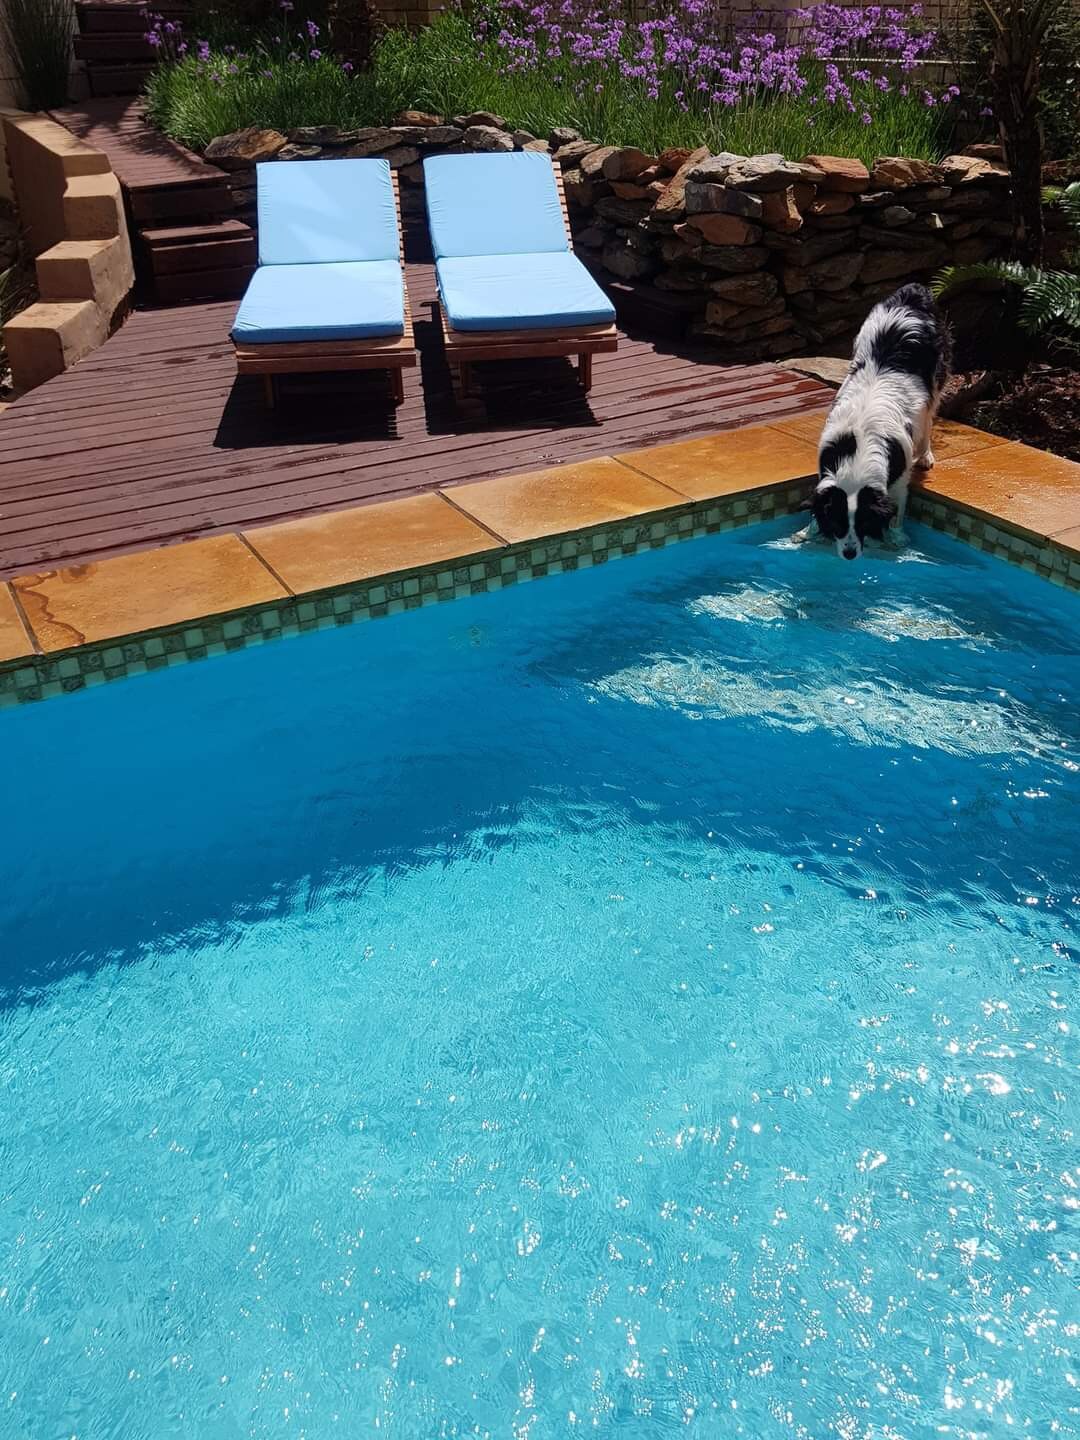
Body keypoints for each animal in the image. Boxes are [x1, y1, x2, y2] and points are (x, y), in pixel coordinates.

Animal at [805, 284, 950, 559]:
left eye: (863, 523)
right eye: (837, 522)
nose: (850, 555)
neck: (856, 448)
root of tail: (912, 292)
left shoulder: (899, 477)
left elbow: (897, 509)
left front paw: (896, 538)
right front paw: (809, 531)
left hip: (935, 381)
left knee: (929, 417)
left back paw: (926, 455)